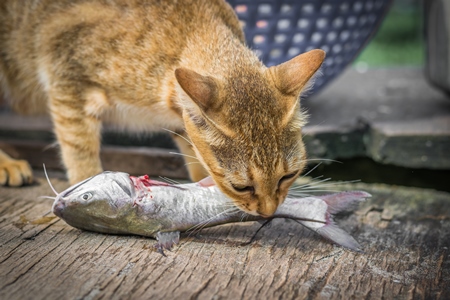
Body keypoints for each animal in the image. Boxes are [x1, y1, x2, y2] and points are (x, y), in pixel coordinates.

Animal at [0, 0, 324, 216]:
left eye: (287, 176)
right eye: (241, 186)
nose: (269, 213)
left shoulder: (182, 121)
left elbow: (195, 154)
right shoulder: (65, 78)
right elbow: (80, 153)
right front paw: (86, 188)